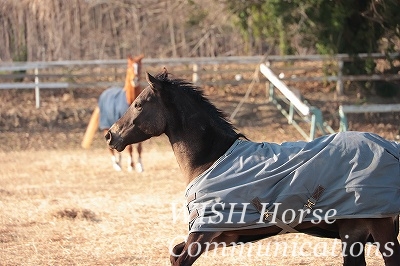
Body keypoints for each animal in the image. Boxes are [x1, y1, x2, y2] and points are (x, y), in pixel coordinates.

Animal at [105, 69, 400, 266]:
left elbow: (179, 257)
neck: (210, 160)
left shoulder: (203, 233)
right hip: (353, 231)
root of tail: (389, 147)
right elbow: (174, 252)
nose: (110, 135)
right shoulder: (223, 234)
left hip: (380, 229)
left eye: (138, 104)